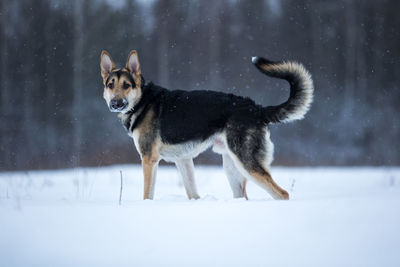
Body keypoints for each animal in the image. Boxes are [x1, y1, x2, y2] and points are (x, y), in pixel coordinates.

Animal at [99, 50, 312, 201]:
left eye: (126, 85)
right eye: (110, 85)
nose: (115, 103)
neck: (142, 101)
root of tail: (256, 108)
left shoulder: (149, 160)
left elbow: (147, 195)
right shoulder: (183, 160)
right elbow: (193, 194)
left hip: (246, 163)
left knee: (282, 194)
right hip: (231, 167)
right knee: (243, 196)